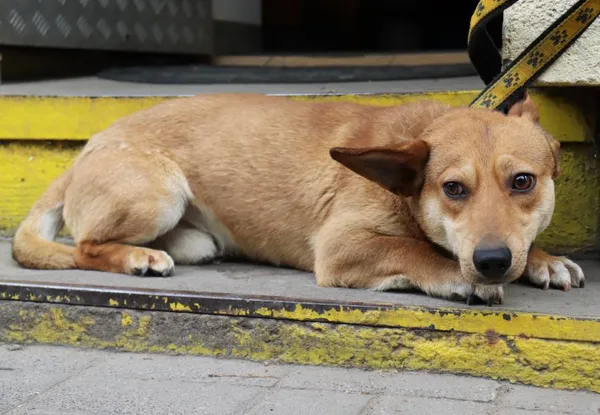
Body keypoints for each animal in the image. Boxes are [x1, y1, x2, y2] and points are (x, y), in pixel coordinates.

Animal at [12, 92, 584, 304]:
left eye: (523, 182)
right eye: (453, 189)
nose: (491, 261)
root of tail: (93, 143)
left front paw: (544, 259)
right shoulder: (341, 246)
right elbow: (412, 250)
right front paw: (455, 274)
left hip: (192, 231)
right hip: (159, 194)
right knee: (85, 246)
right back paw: (136, 257)